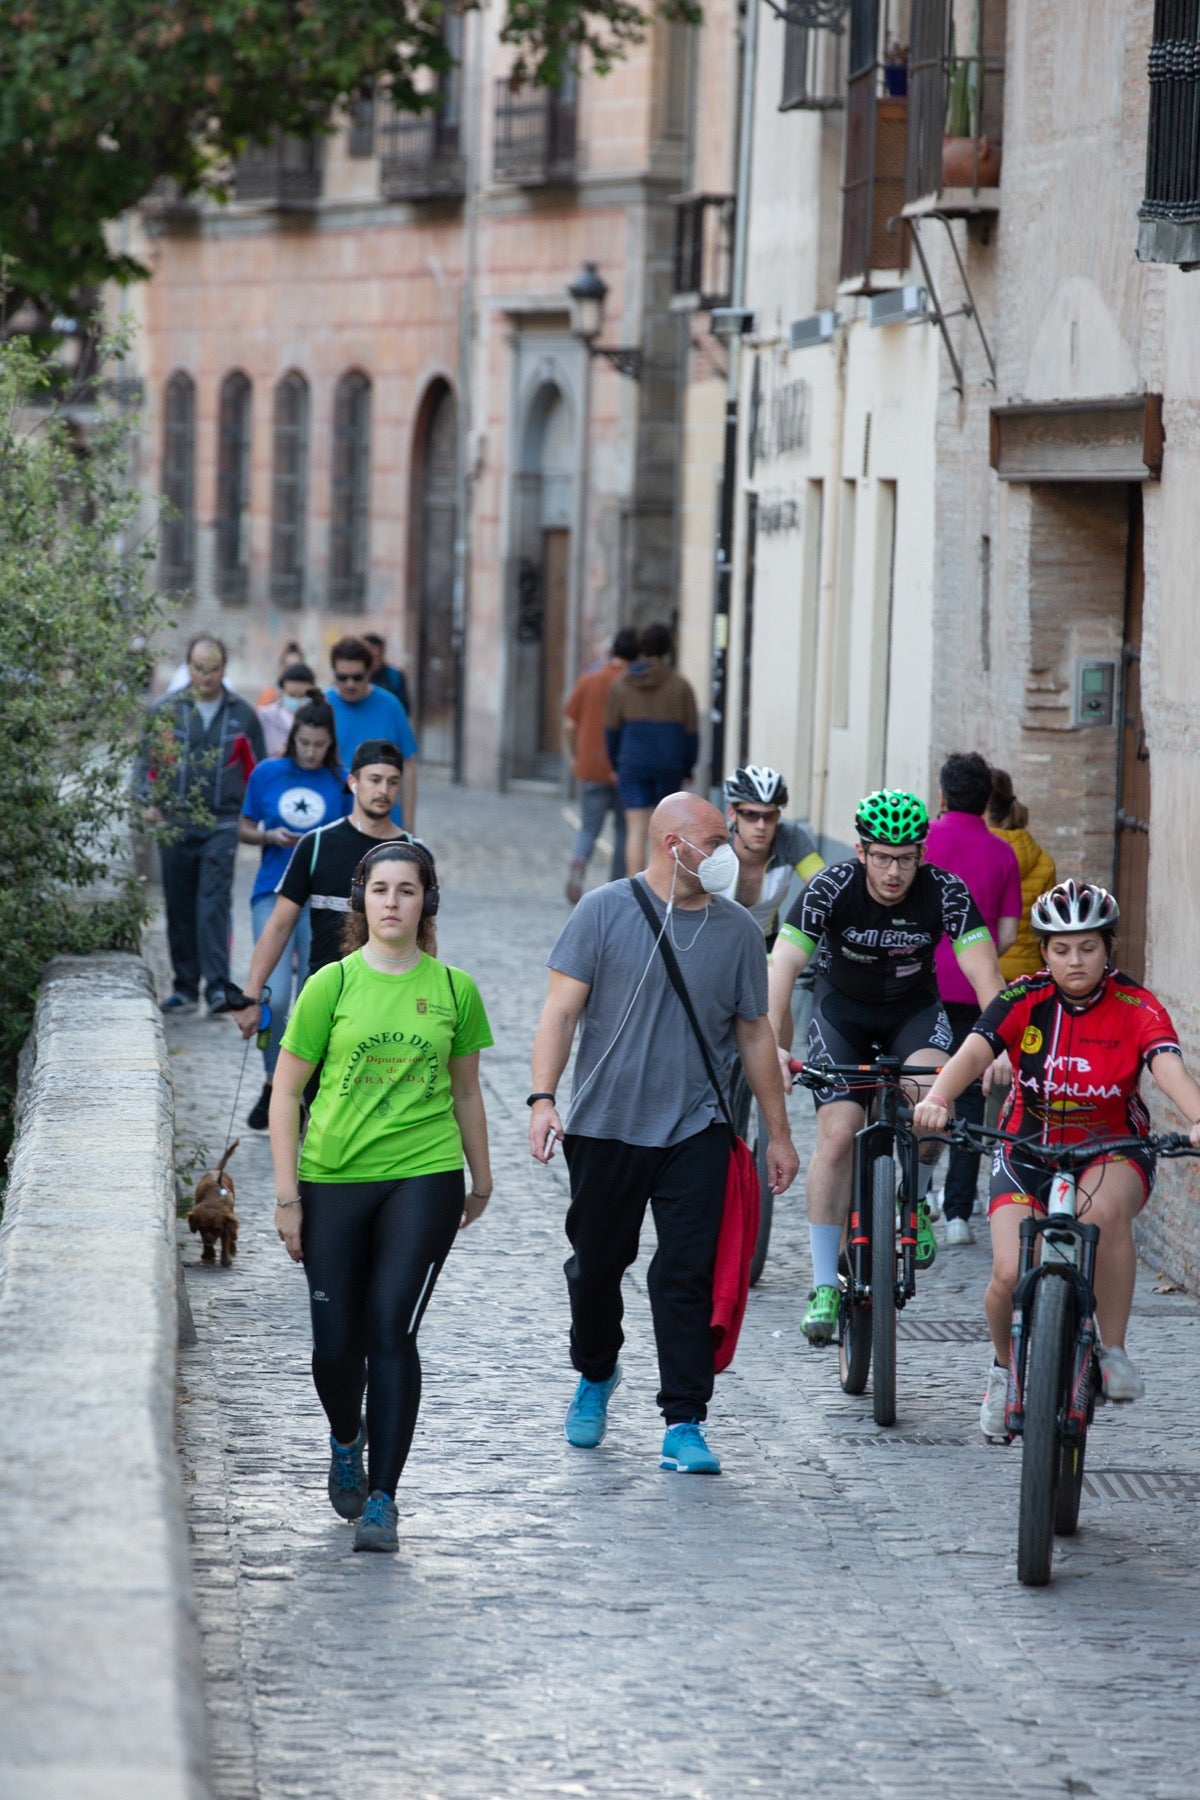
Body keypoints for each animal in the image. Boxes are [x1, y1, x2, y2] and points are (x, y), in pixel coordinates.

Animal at [188, 1137, 239, 1267]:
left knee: (232, 1232)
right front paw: (209, 1253)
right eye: (202, 1228)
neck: (213, 1199)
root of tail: (217, 1170)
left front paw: (225, 1259)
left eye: (217, 1230)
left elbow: (225, 1239)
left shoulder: (226, 1223)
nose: (209, 1240)